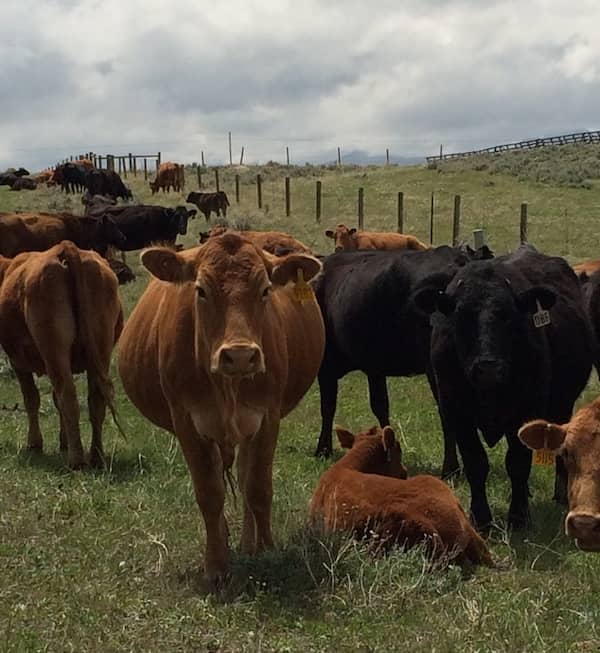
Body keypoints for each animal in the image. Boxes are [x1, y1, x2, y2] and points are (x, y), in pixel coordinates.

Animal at [0, 239, 123, 468]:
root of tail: (65, 248)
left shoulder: (17, 360)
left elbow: (32, 399)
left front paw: (35, 444)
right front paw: (63, 440)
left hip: (54, 351)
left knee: (68, 397)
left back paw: (76, 460)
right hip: (100, 352)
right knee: (96, 400)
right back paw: (96, 456)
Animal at [116, 233, 324, 580]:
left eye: (265, 289)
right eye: (201, 290)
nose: (240, 355)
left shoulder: (267, 418)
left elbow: (258, 488)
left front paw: (266, 550)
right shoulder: (187, 423)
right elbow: (209, 493)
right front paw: (215, 564)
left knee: (244, 475)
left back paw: (248, 544)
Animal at [414, 244, 592, 528]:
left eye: (510, 316)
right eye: (461, 316)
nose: (488, 367)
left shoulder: (527, 409)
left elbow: (517, 462)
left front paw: (519, 517)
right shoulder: (457, 411)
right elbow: (476, 462)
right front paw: (481, 517)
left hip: (562, 404)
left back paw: (560, 494)